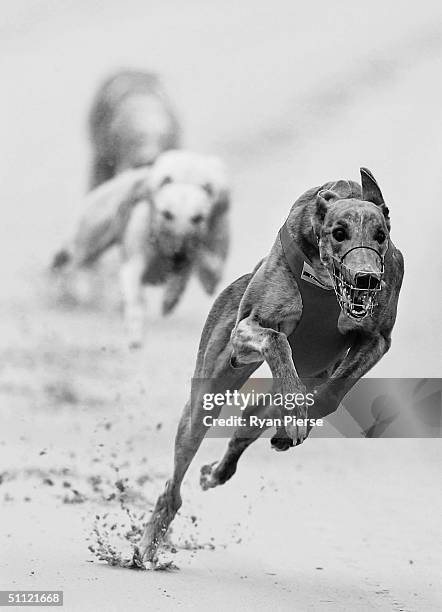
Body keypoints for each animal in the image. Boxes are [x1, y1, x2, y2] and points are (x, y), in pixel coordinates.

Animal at [53, 151, 230, 346]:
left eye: (197, 217)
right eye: (167, 213)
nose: (178, 246)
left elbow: (201, 271)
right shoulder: (134, 264)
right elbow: (135, 296)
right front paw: (135, 333)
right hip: (93, 238)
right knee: (76, 261)